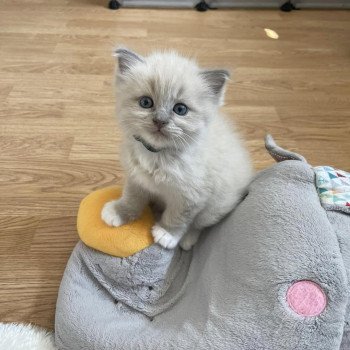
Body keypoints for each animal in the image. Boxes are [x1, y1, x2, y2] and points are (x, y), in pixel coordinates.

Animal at [101, 47, 252, 250]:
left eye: (180, 109)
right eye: (146, 102)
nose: (160, 121)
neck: (158, 155)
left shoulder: (192, 197)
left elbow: (178, 217)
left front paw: (167, 234)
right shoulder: (136, 179)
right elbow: (132, 199)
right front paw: (119, 211)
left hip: (215, 207)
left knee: (198, 224)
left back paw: (187, 240)